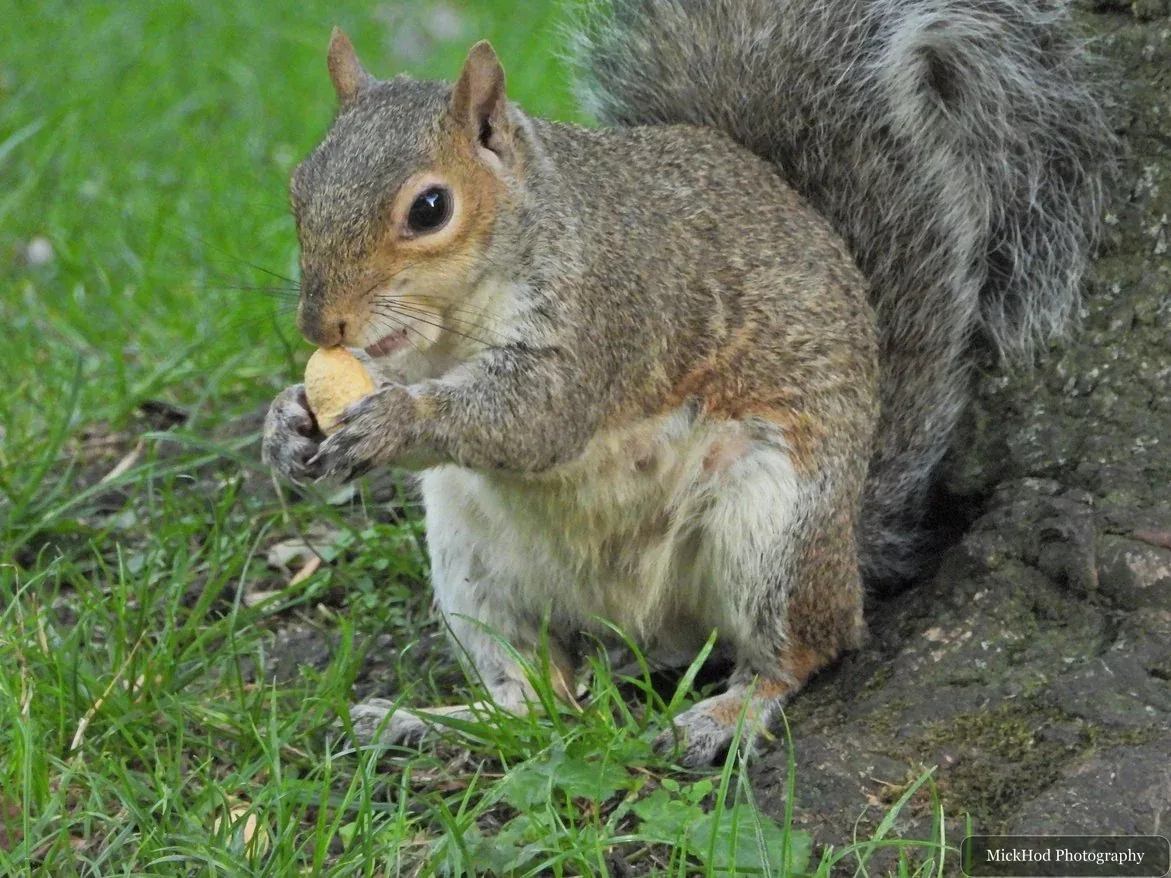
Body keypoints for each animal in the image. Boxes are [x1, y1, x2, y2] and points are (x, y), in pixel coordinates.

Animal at [262, 0, 1112, 765]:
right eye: (298, 186)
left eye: (430, 208)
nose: (319, 324)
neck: (456, 320)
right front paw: (287, 420)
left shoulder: (612, 313)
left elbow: (536, 418)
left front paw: (393, 421)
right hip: (473, 561)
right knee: (539, 700)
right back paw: (420, 722)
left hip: (771, 528)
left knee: (807, 651)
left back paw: (723, 717)